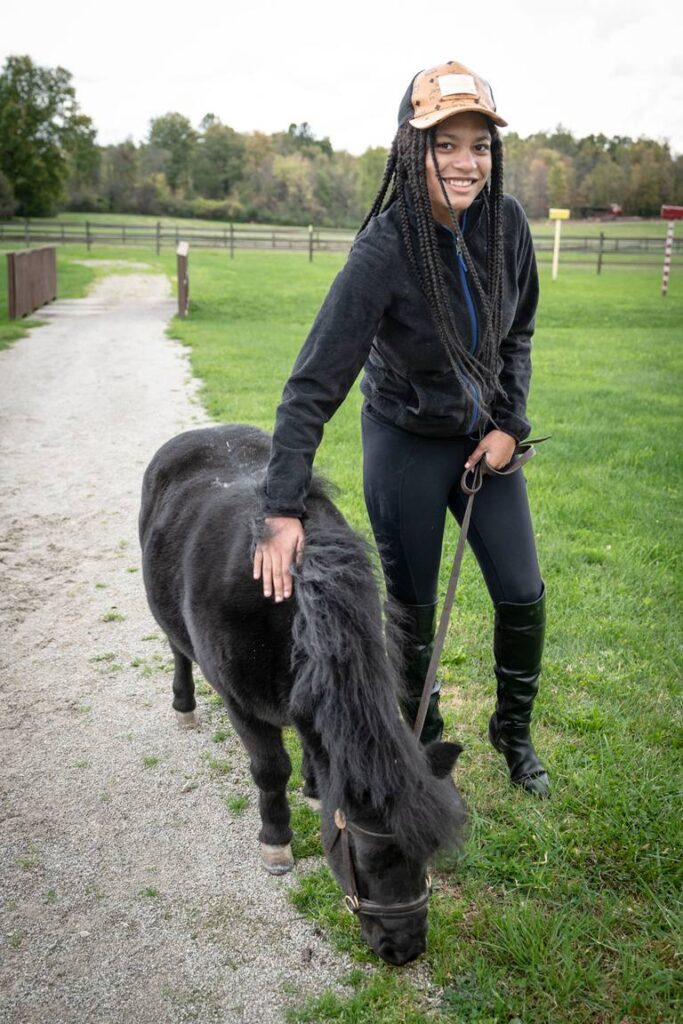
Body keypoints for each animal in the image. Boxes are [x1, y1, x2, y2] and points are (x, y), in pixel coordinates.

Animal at [141, 421, 466, 958]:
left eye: (427, 854)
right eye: (369, 856)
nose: (406, 949)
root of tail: (207, 430)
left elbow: (317, 748)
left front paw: (316, 789)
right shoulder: (242, 705)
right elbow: (271, 769)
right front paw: (276, 839)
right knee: (177, 650)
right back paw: (183, 704)